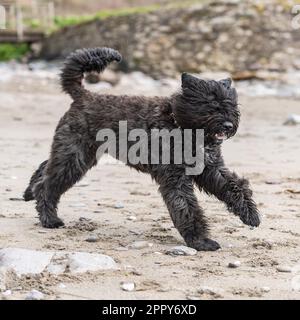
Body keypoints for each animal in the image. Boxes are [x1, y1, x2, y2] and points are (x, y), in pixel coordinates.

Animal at [24, 48, 260, 252]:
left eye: (232, 105)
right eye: (210, 104)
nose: (228, 125)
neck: (179, 124)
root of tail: (83, 95)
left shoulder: (211, 168)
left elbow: (234, 186)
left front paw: (250, 214)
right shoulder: (175, 178)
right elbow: (186, 207)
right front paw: (200, 241)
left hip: (78, 155)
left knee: (45, 167)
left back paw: (28, 193)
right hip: (75, 157)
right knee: (47, 185)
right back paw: (49, 219)